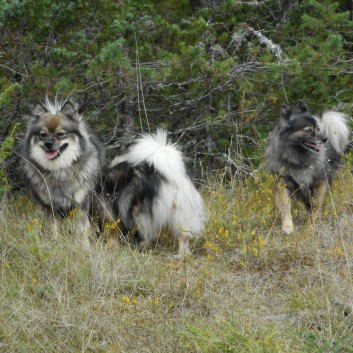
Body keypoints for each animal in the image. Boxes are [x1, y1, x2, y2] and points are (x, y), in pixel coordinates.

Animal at [264, 100, 350, 232]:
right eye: (308, 129)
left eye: (318, 129)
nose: (325, 138)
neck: (298, 158)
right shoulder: (284, 184)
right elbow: (285, 208)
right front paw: (288, 227)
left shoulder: (319, 182)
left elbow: (317, 205)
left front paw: (313, 223)